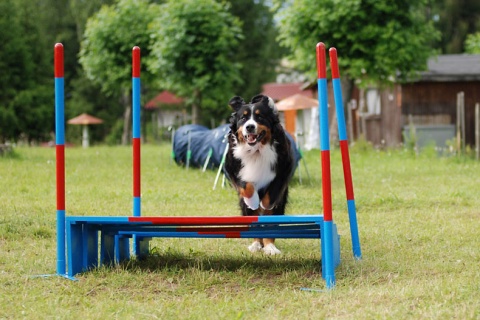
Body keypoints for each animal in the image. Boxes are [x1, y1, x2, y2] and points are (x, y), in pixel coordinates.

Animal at [226, 93, 296, 255]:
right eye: (243, 118)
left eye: (260, 117)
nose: (250, 126)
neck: (256, 150)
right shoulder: (232, 167)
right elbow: (246, 186)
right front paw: (253, 200)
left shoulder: (284, 166)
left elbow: (273, 192)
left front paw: (265, 203)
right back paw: (256, 245)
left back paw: (270, 247)